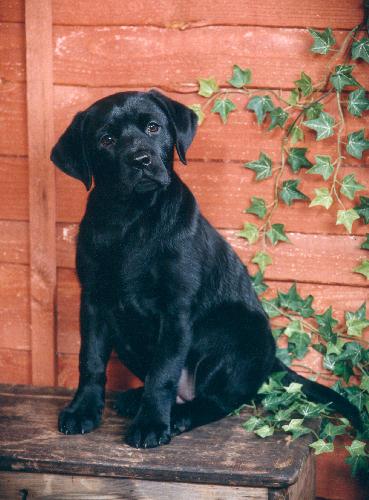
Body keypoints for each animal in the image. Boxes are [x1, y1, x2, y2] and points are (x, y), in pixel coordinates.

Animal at [51, 91, 360, 450]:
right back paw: (136, 400)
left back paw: (178, 416)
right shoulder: (94, 302)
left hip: (231, 331)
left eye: (153, 127)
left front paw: (151, 424)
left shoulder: (175, 310)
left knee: (219, 401)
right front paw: (82, 410)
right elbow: (91, 361)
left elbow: (163, 373)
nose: (141, 160)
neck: (133, 219)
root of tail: (271, 360)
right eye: (107, 140)